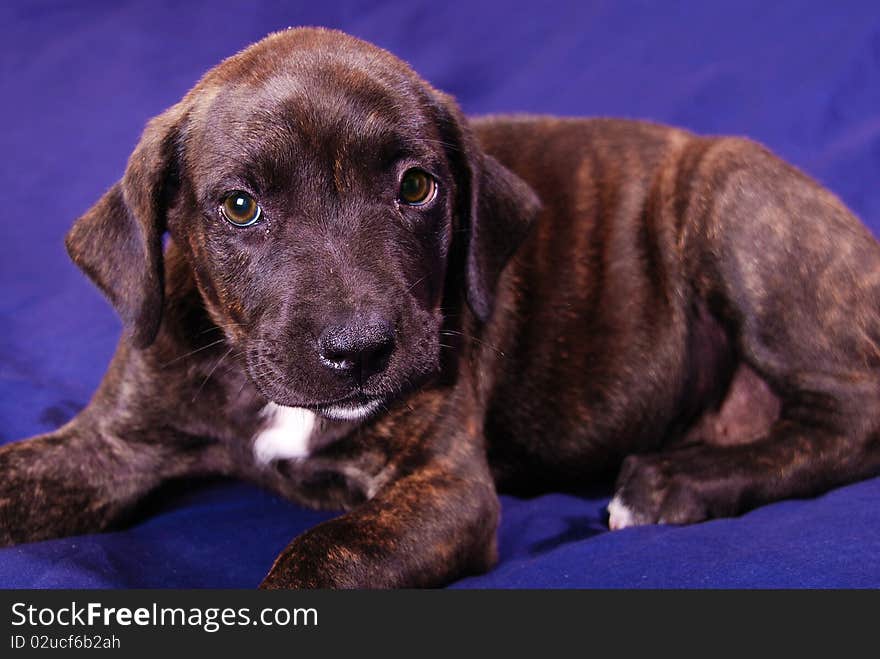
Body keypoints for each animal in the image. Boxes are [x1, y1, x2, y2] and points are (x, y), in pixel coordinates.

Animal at [1, 27, 880, 588]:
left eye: (419, 187)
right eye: (241, 206)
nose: (360, 349)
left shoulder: (444, 487)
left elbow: (317, 559)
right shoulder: (108, 447)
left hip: (736, 200)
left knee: (850, 416)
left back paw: (676, 482)